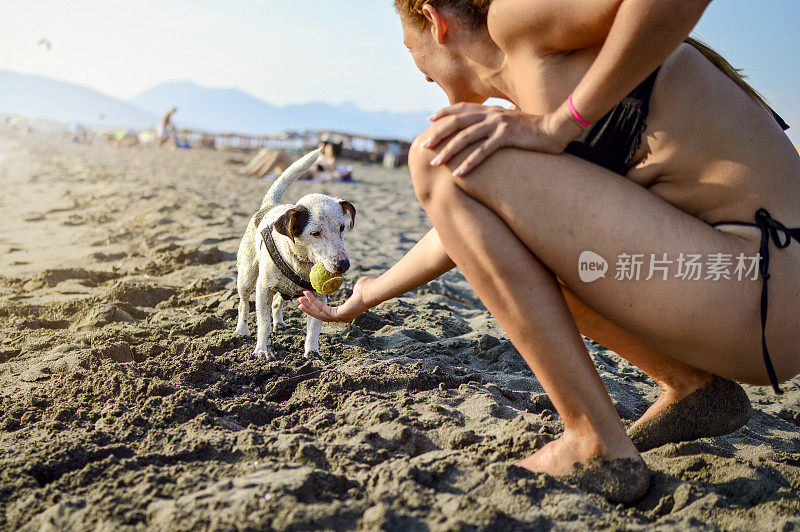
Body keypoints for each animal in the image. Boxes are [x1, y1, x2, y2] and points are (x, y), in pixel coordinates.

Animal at [233, 151, 354, 362]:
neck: (301, 261)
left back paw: (279, 323)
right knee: (243, 303)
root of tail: (269, 205)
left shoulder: (318, 297)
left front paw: (312, 353)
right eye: (315, 233)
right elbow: (263, 322)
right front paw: (263, 350)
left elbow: (314, 328)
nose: (343, 264)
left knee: (277, 302)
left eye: (341, 227)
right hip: (247, 276)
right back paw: (241, 330)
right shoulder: (263, 288)